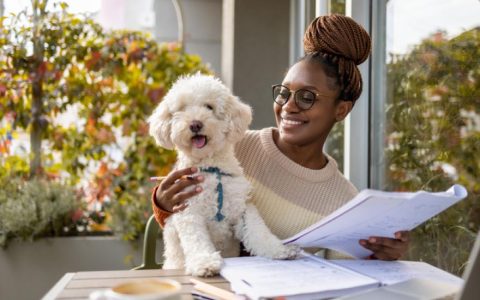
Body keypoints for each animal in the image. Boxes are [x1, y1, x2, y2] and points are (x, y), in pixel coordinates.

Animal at [148, 74, 298, 276]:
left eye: (209, 107)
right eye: (182, 109)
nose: (195, 124)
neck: (212, 169)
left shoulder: (241, 208)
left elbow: (258, 231)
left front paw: (280, 250)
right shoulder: (189, 211)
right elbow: (197, 240)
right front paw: (205, 263)